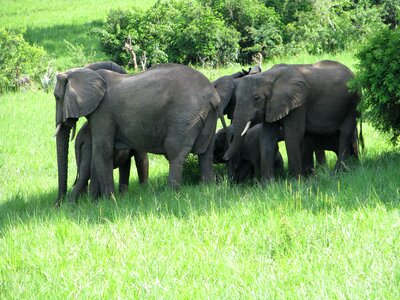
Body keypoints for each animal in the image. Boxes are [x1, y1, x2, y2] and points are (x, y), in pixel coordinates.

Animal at [53, 63, 220, 204]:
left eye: (57, 97)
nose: (58, 205)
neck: (85, 72)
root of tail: (212, 94)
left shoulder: (103, 113)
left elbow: (102, 151)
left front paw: (110, 202)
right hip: (207, 115)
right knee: (206, 152)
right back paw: (207, 188)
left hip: (185, 116)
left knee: (175, 153)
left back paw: (171, 193)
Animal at [225, 60, 360, 180]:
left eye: (256, 98)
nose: (225, 158)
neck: (268, 76)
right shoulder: (272, 106)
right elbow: (267, 138)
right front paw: (267, 185)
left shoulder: (298, 103)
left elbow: (293, 135)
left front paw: (295, 182)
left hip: (353, 102)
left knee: (345, 133)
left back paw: (338, 171)